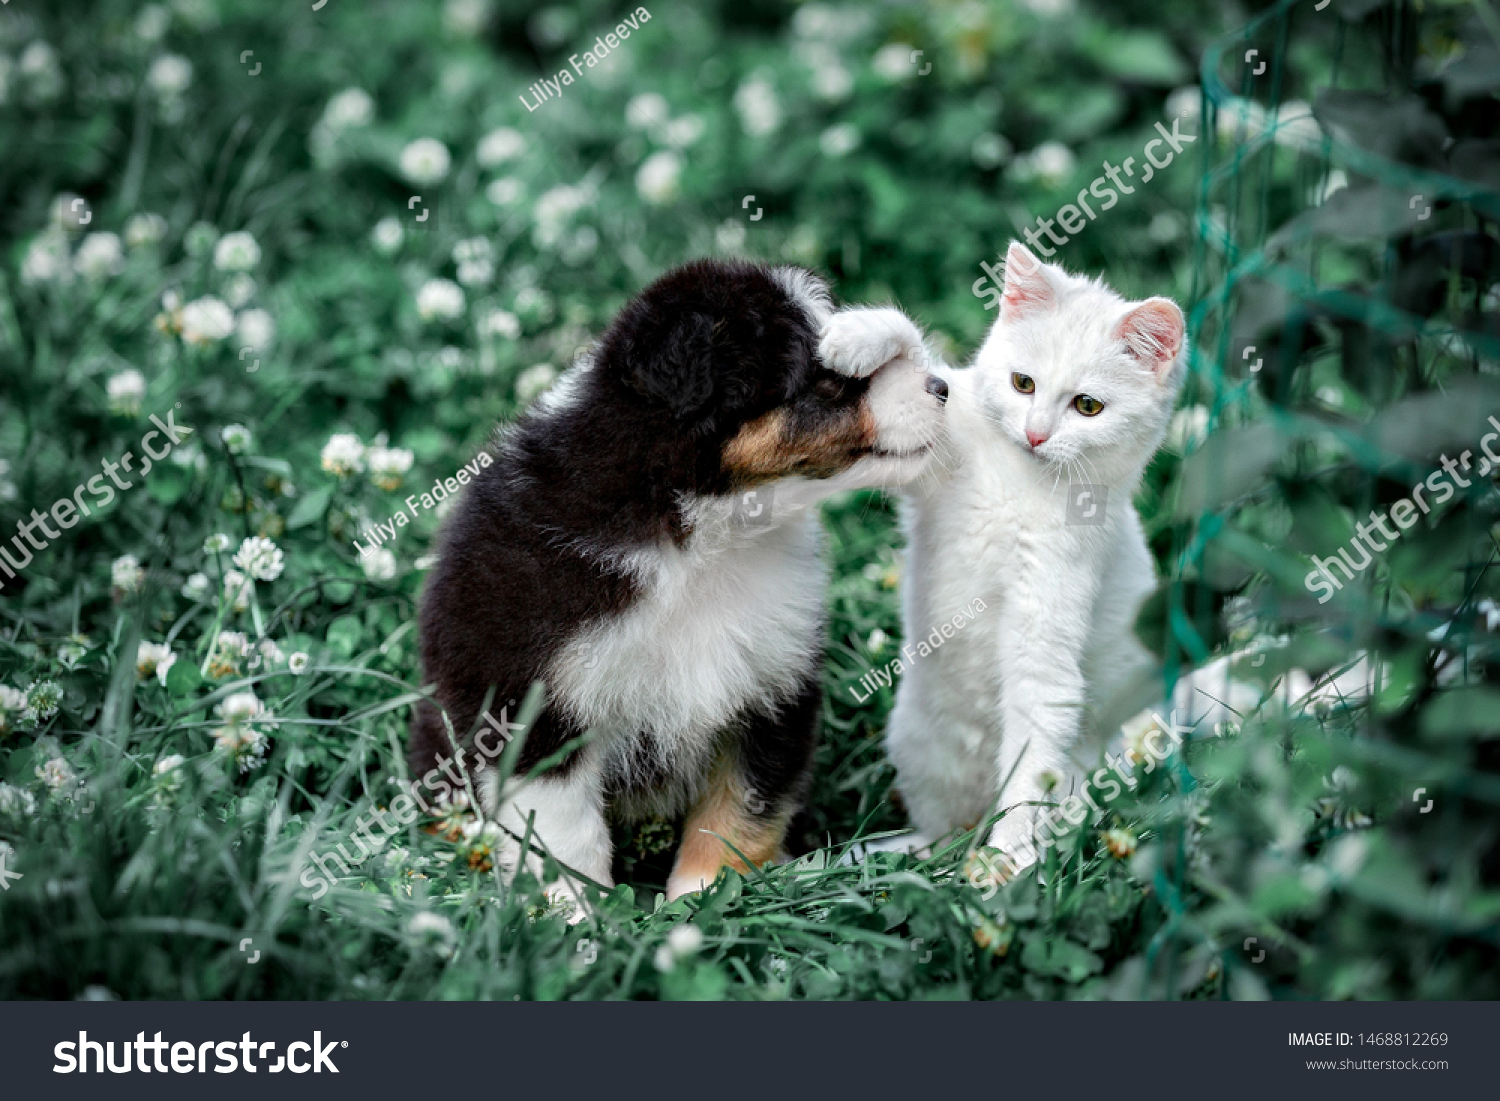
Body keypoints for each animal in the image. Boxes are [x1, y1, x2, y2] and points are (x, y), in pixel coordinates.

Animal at [411, 258, 948, 906]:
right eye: (827, 386)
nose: (943, 387)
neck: (698, 537)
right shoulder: (531, 699)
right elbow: (561, 824)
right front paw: (578, 913)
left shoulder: (770, 682)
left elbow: (742, 802)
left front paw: (705, 897)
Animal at [882, 246, 1188, 876]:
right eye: (1022, 383)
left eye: (1088, 406)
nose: (1036, 434)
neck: (1020, 485)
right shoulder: (931, 470)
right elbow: (921, 362)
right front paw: (851, 336)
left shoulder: (1043, 641)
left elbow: (1028, 768)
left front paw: (1008, 859)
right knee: (939, 829)